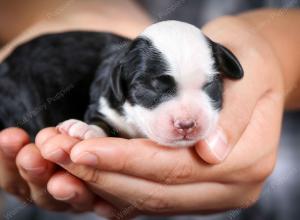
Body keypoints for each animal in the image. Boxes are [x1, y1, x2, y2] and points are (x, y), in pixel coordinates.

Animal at [0, 20, 244, 148]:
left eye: (210, 85)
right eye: (152, 88)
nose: (186, 124)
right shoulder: (103, 104)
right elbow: (102, 122)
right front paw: (83, 129)